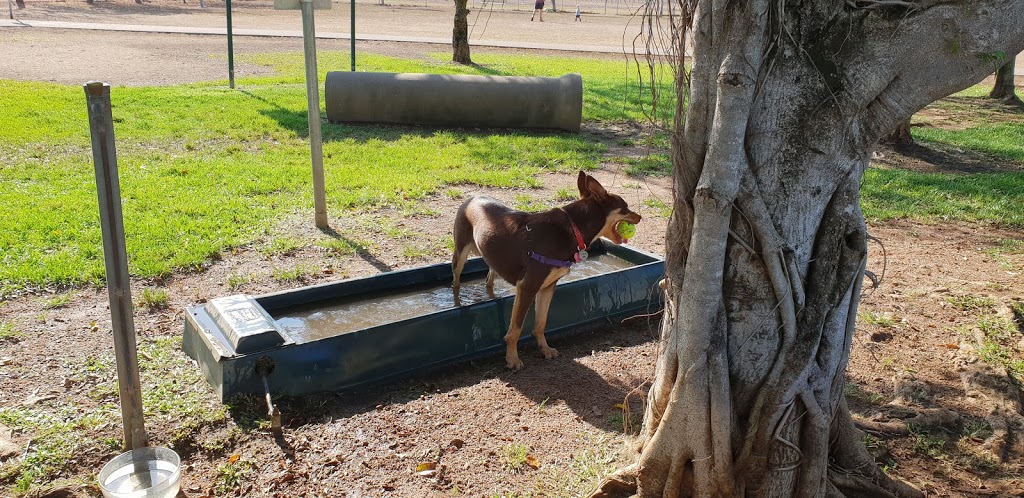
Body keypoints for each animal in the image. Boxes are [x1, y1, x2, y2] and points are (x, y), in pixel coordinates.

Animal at [450, 171, 638, 368]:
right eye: (625, 208)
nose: (640, 217)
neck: (573, 228)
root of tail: (472, 197)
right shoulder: (527, 287)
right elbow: (515, 330)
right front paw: (512, 359)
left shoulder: (547, 287)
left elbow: (541, 324)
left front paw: (545, 349)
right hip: (460, 253)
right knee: (455, 279)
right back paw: (456, 300)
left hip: (493, 256)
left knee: (489, 278)